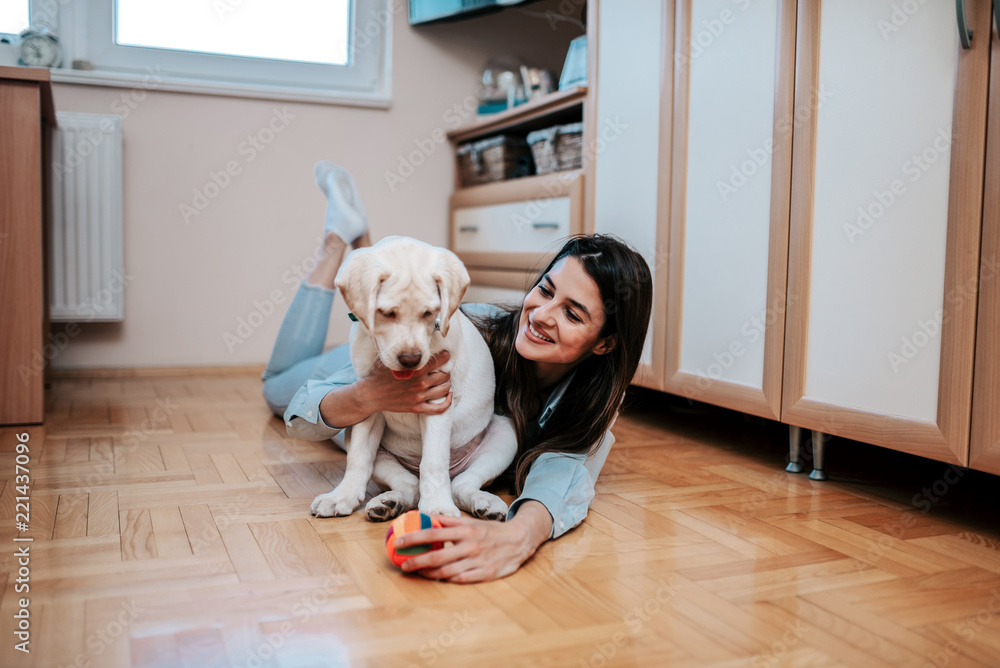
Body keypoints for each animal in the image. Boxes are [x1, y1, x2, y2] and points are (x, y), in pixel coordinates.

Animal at [310, 235, 516, 520]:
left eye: (430, 313)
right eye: (387, 313)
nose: (410, 359)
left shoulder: (437, 399)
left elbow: (433, 461)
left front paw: (437, 507)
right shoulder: (368, 399)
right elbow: (359, 458)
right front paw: (342, 496)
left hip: (505, 434)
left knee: (459, 484)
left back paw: (483, 502)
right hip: (364, 442)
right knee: (410, 486)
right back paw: (388, 503)